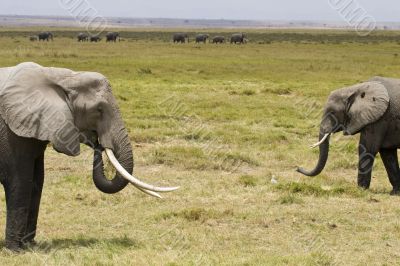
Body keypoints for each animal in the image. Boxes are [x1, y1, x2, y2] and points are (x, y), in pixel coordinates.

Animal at [0, 62, 178, 251]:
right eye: (98, 110)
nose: (98, 142)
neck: (60, 75)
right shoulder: (10, 132)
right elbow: (20, 182)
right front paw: (16, 250)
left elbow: (37, 182)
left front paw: (30, 246)